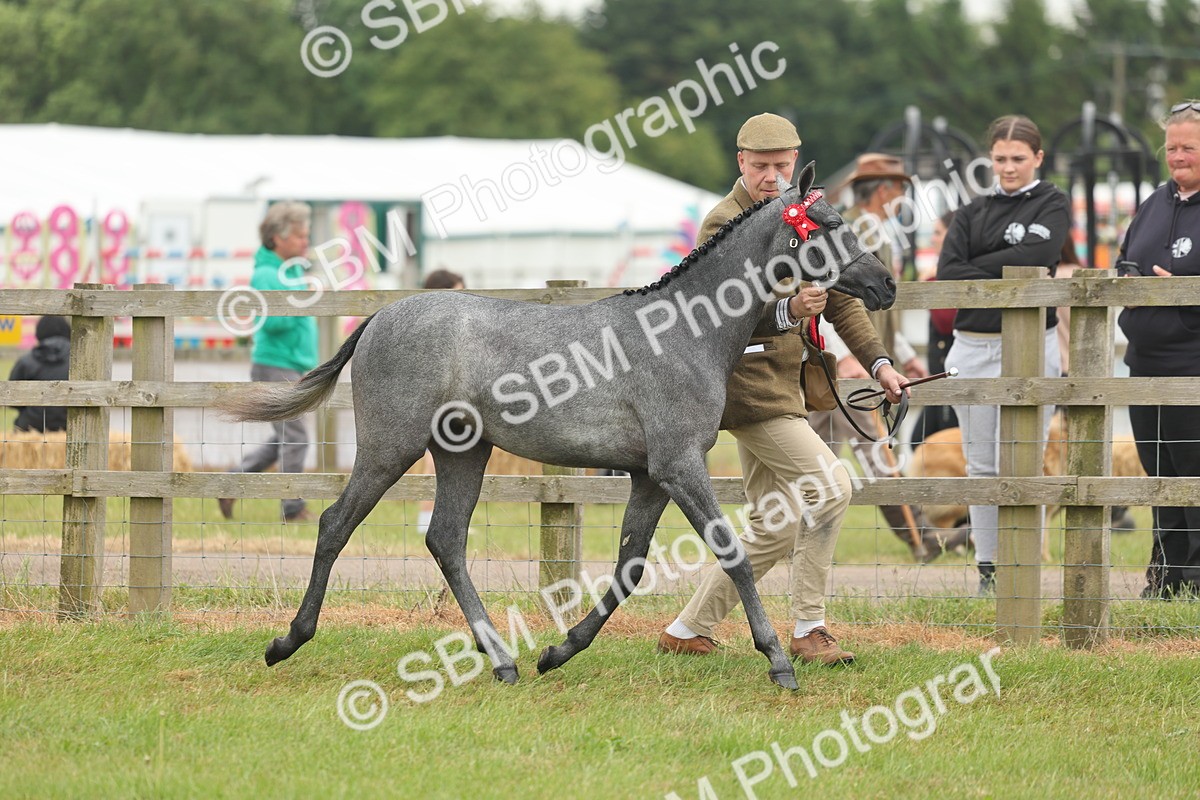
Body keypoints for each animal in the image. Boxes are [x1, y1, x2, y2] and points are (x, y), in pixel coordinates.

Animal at [220, 163, 896, 690]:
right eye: (827, 223)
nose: (885, 283)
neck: (684, 330)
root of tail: (380, 316)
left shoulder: (650, 476)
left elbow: (629, 568)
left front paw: (559, 650)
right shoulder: (679, 465)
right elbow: (731, 554)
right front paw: (779, 660)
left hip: (462, 452)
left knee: (446, 540)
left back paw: (502, 660)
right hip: (391, 447)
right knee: (337, 523)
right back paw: (288, 641)